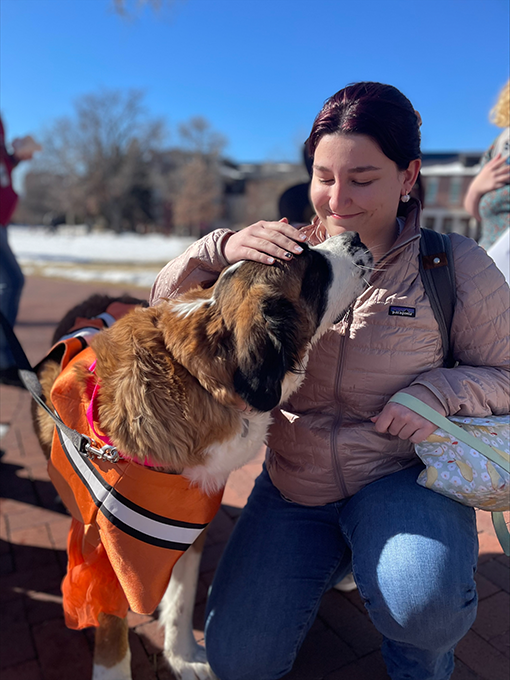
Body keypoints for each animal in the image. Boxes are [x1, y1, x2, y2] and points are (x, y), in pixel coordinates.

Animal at [32, 231, 374, 676]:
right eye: (312, 265)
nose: (354, 235)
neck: (197, 380)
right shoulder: (104, 550)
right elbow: (112, 633)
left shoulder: (187, 522)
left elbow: (181, 594)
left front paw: (182, 654)